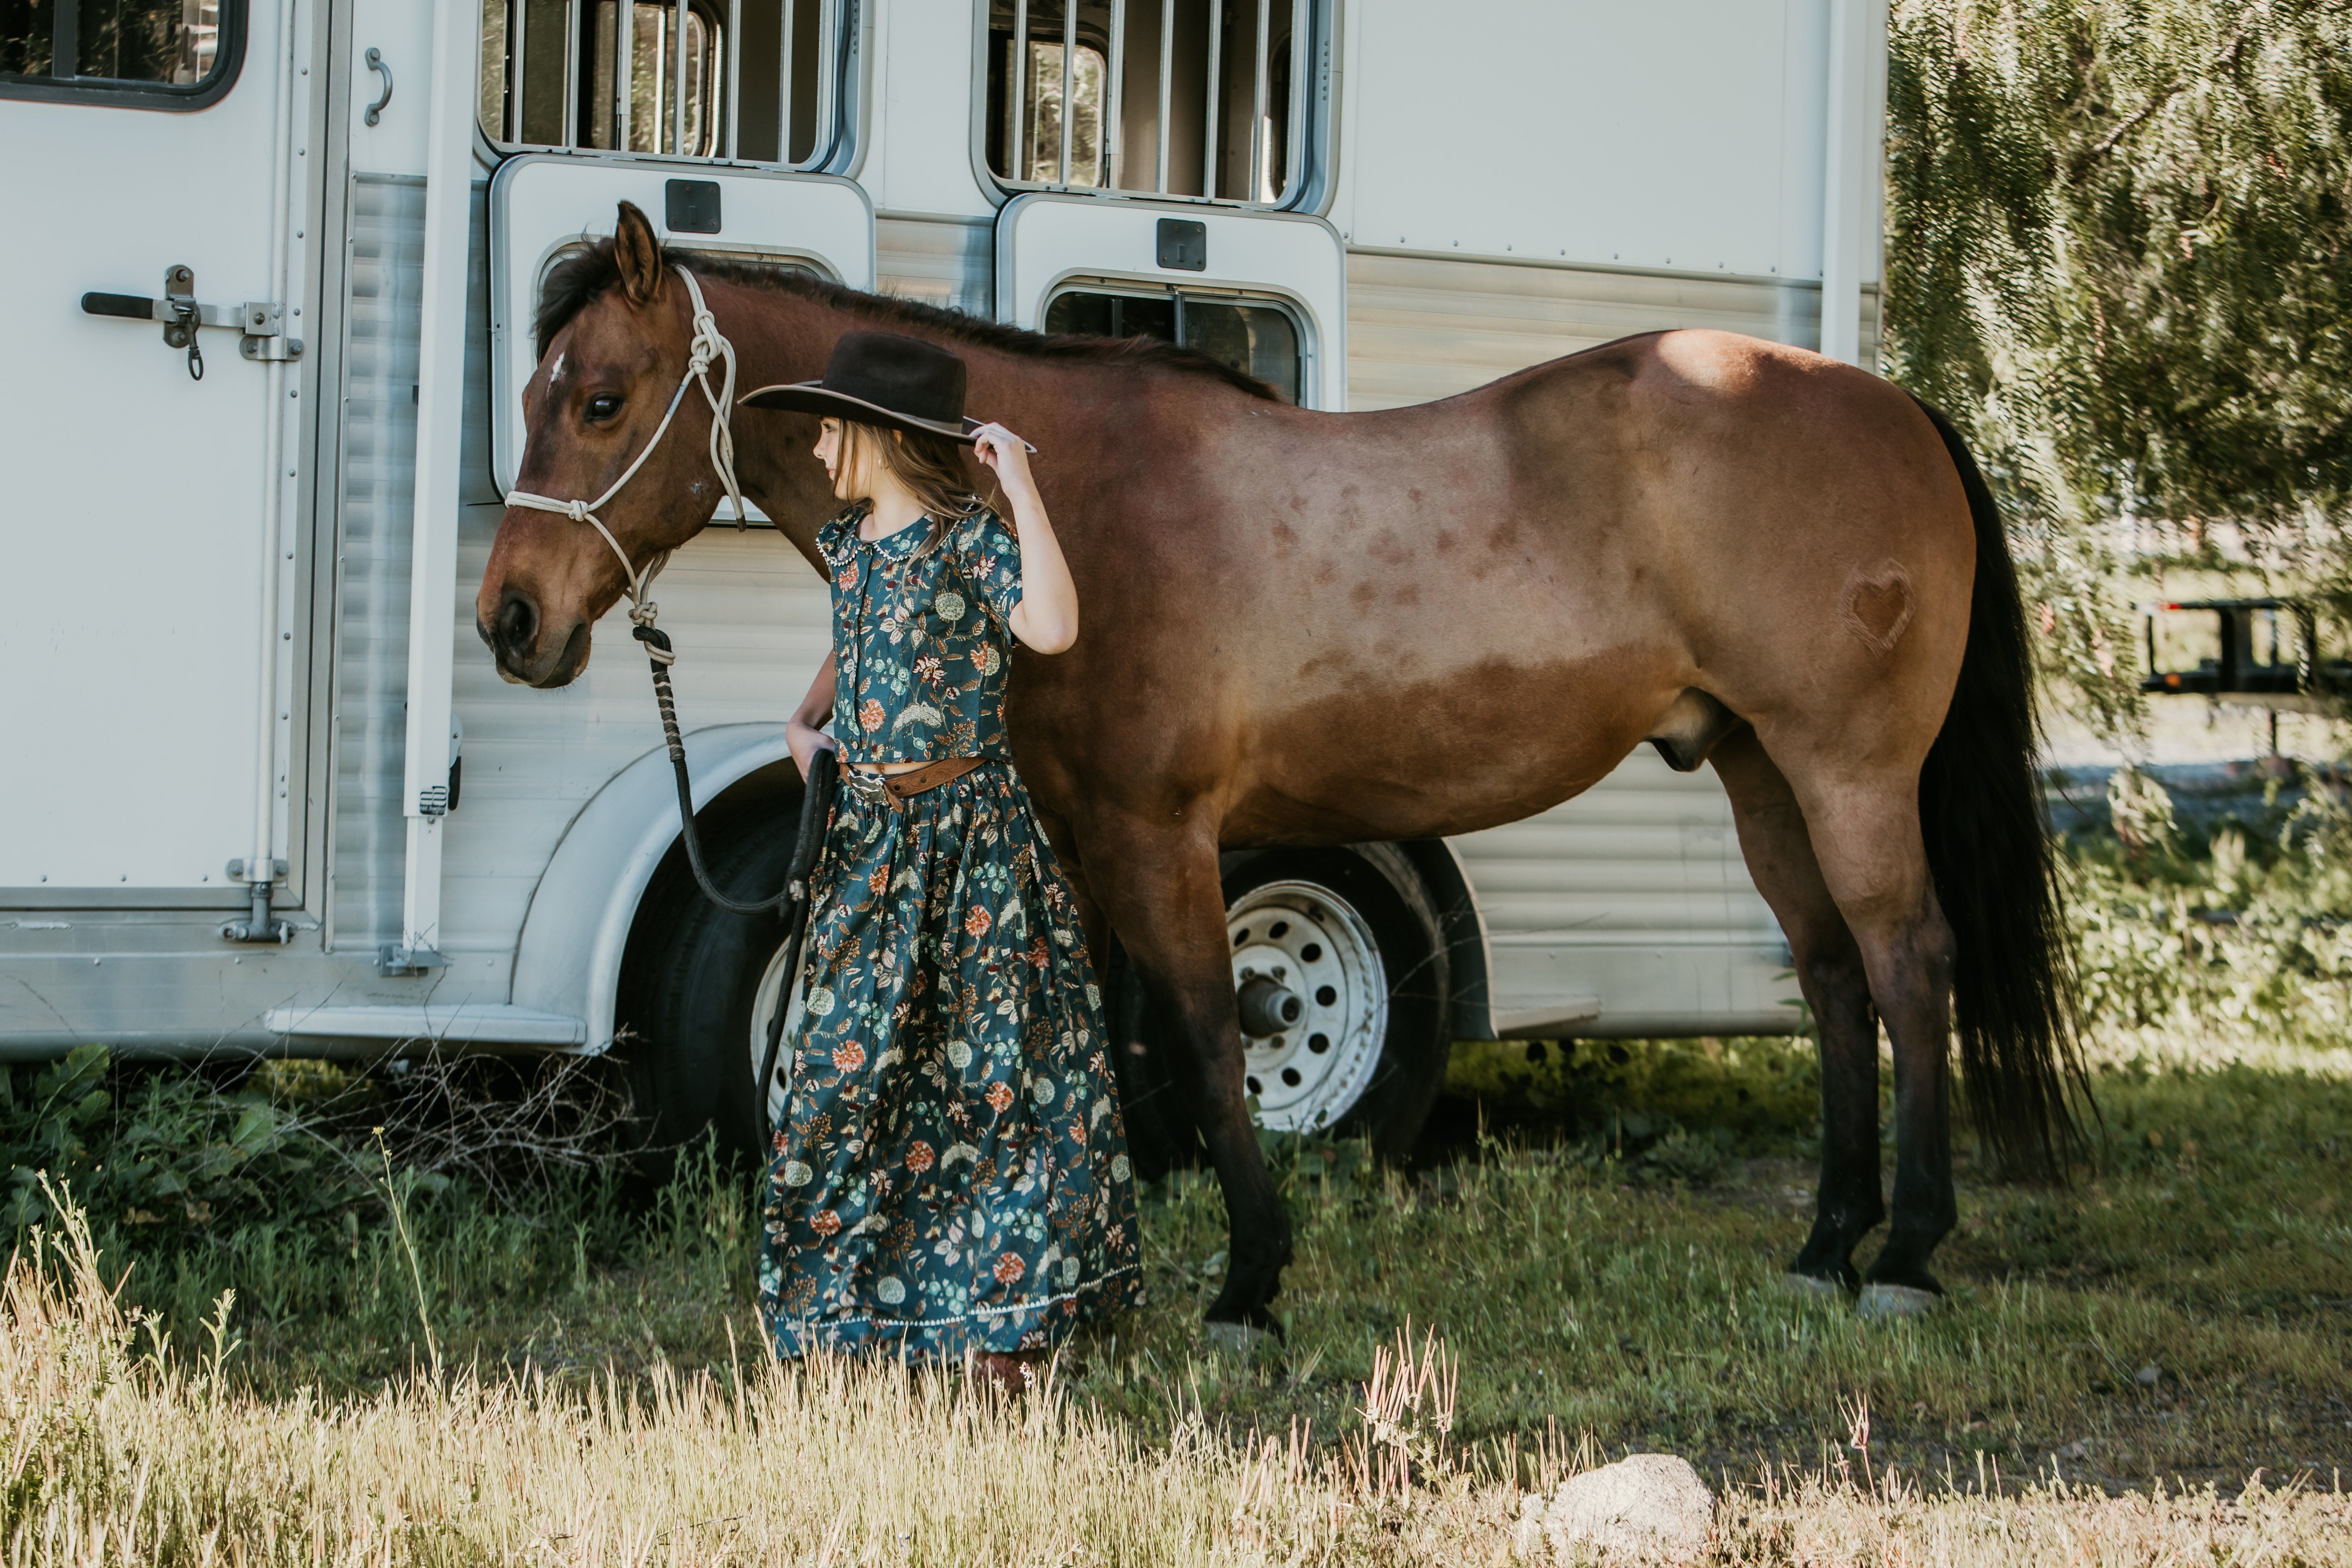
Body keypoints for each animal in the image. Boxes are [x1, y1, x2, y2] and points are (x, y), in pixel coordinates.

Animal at [477, 200, 2079, 1335]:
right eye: (536, 394)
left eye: (602, 398)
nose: (510, 621)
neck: (1061, 495)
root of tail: (1894, 406)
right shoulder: (1076, 839)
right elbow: (1079, 1036)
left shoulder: (1159, 833)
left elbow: (1201, 1028)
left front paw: (1248, 1282)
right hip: (1758, 772)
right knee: (1831, 977)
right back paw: (1824, 1243)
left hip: (1846, 768)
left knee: (1906, 962)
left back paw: (1906, 1255)